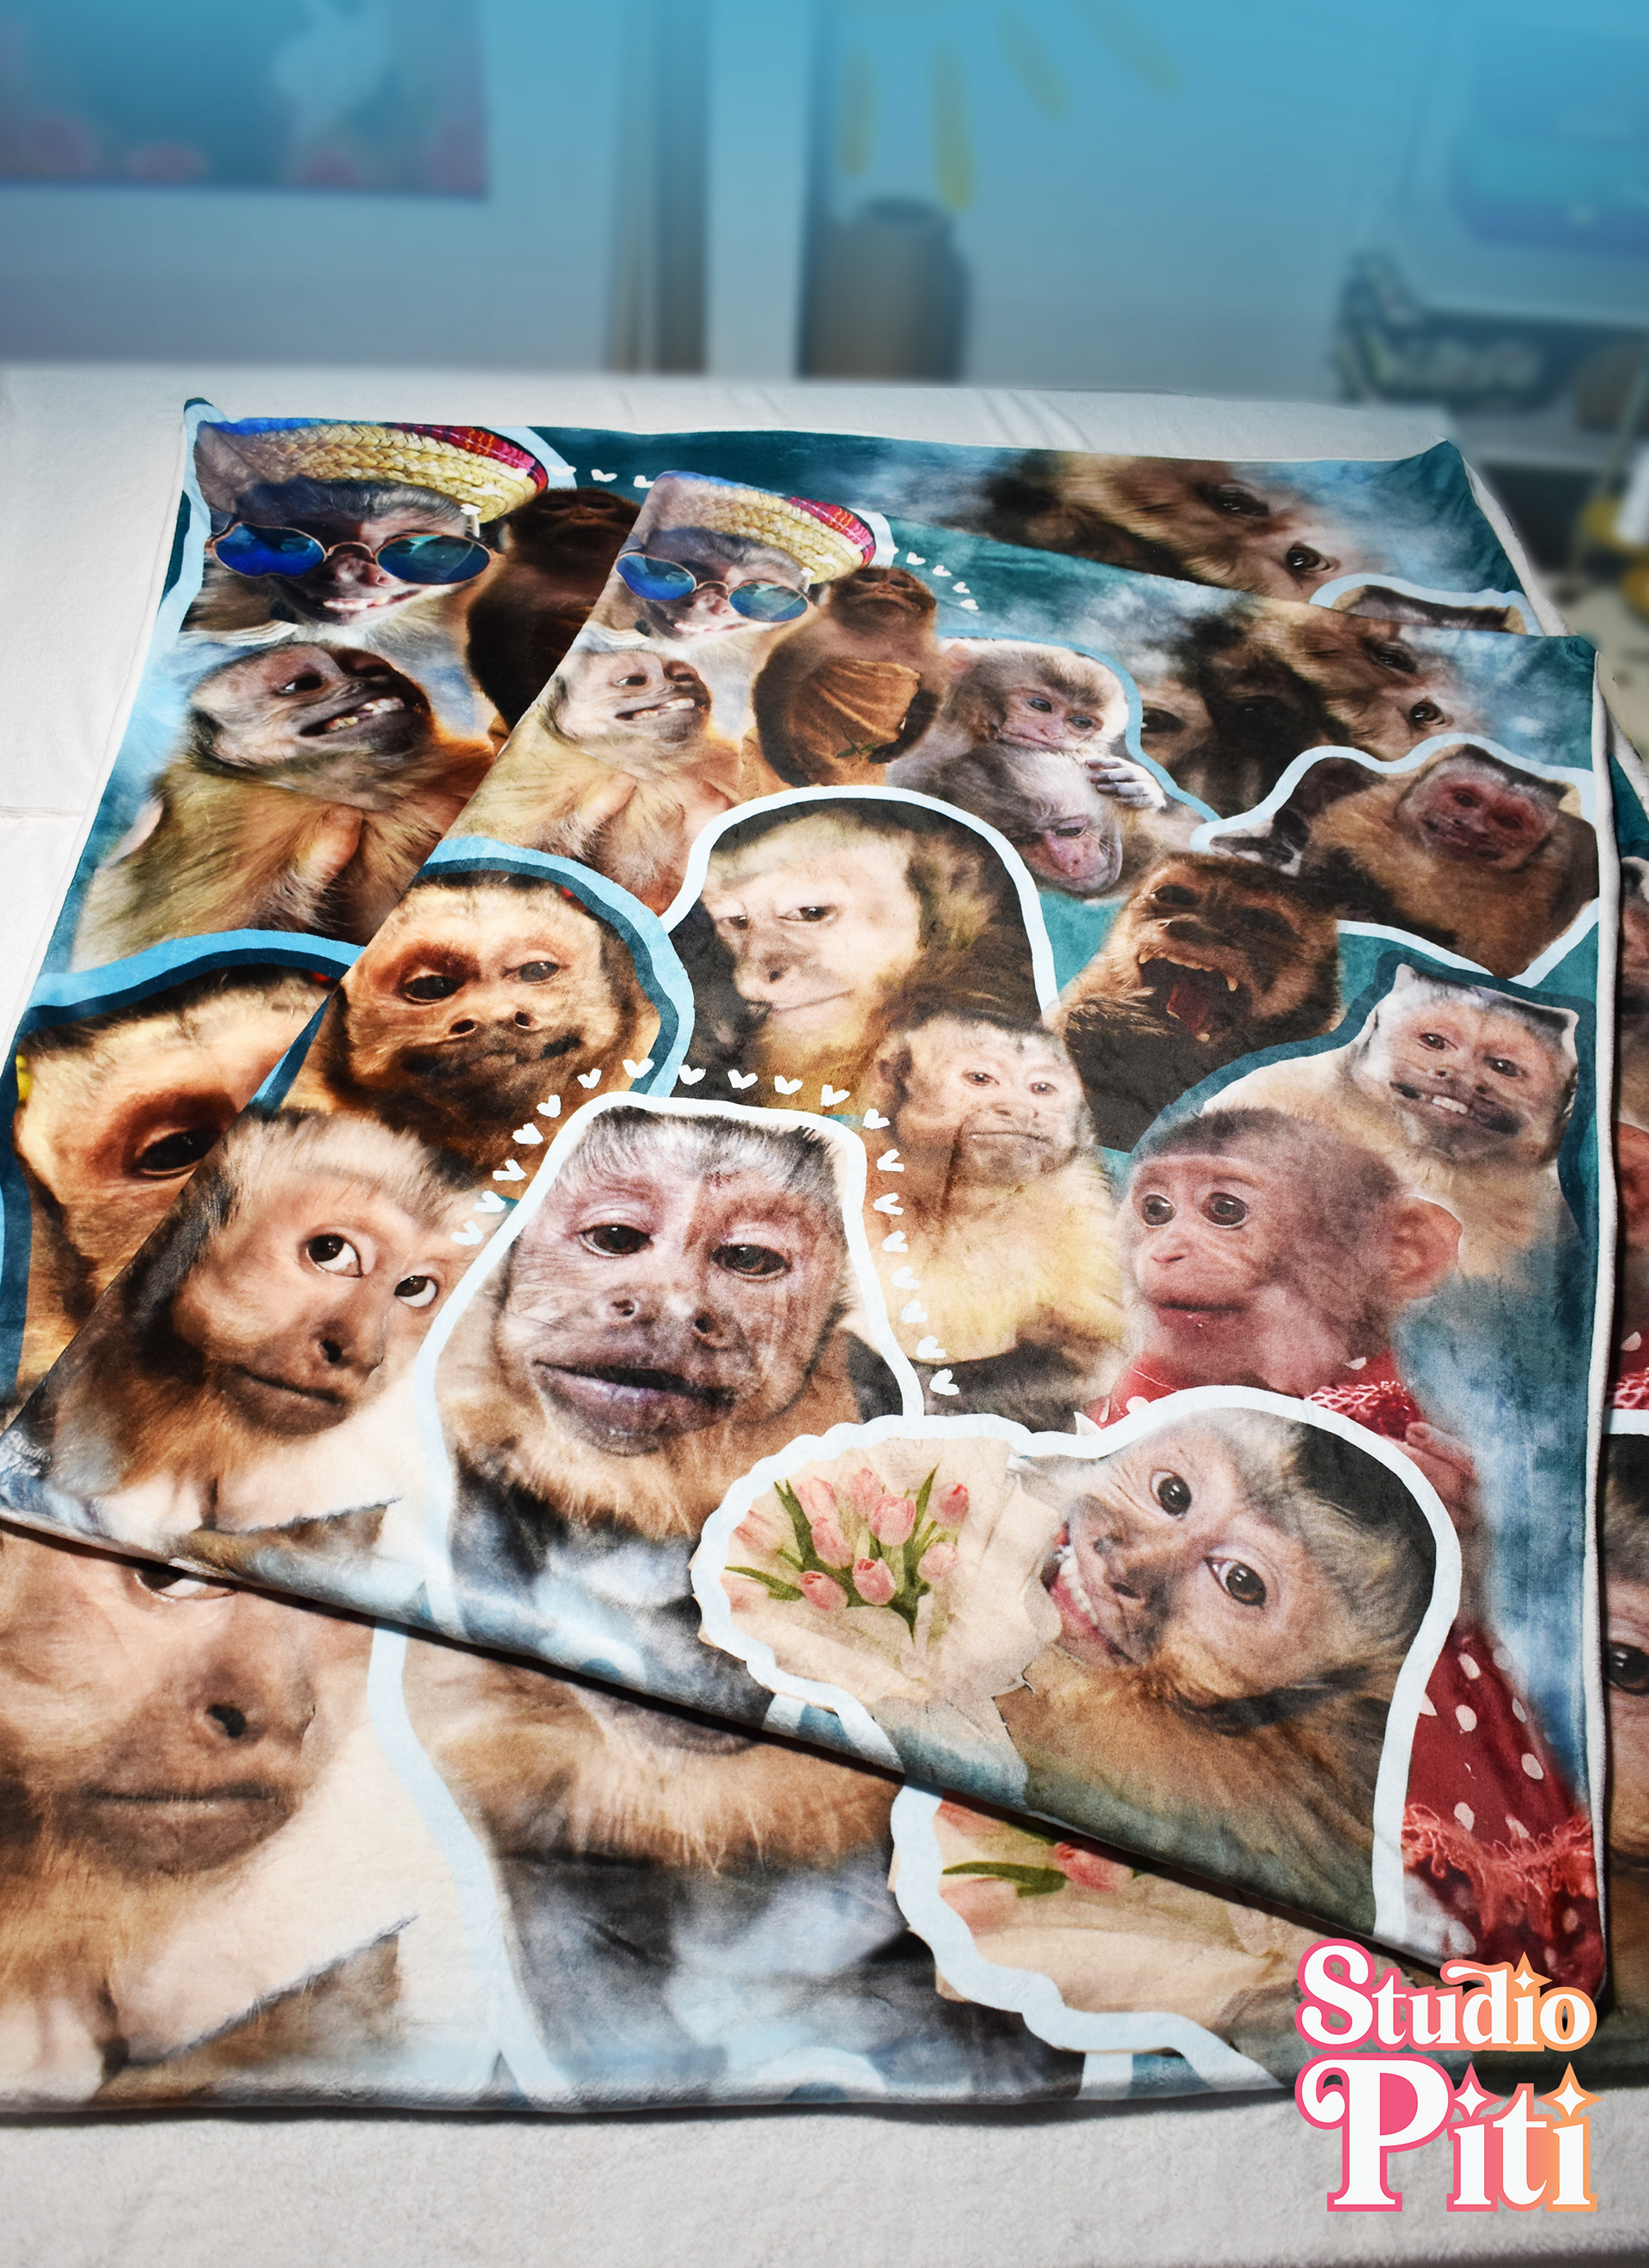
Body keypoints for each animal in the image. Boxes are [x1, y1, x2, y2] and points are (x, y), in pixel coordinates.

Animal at [744, 566, 949, 791]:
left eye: (899, 584)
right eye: (868, 579)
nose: (884, 589)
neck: (879, 634)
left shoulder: (928, 655)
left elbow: (928, 698)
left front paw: (898, 747)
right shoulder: (816, 636)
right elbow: (778, 679)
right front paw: (783, 761)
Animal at [857, 1009, 1124, 1428]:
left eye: (1041, 1088)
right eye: (981, 1079)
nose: (1020, 1110)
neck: (957, 1203)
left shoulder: (1083, 1200)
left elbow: (1093, 1355)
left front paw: (912, 1387)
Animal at [1237, 744, 1597, 980]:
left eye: (1509, 821)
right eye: (1464, 800)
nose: (1472, 829)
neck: (1433, 862)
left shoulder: (1542, 881)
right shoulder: (1375, 808)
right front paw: (1350, 892)